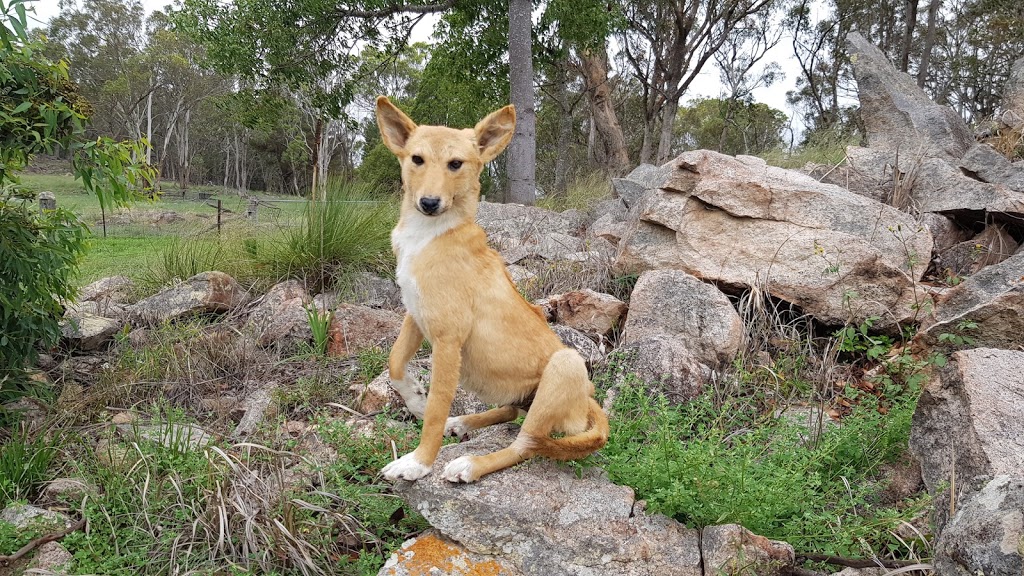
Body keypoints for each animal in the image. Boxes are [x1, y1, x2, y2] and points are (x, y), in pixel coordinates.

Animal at [380, 96, 610, 481]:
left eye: (456, 164)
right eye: (417, 159)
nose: (429, 203)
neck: (431, 236)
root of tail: (588, 399)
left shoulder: (448, 340)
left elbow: (436, 410)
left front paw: (419, 462)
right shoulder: (416, 313)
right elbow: (395, 362)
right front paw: (414, 397)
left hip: (565, 364)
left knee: (525, 444)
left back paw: (471, 464)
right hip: (522, 394)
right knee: (511, 412)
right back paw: (463, 422)